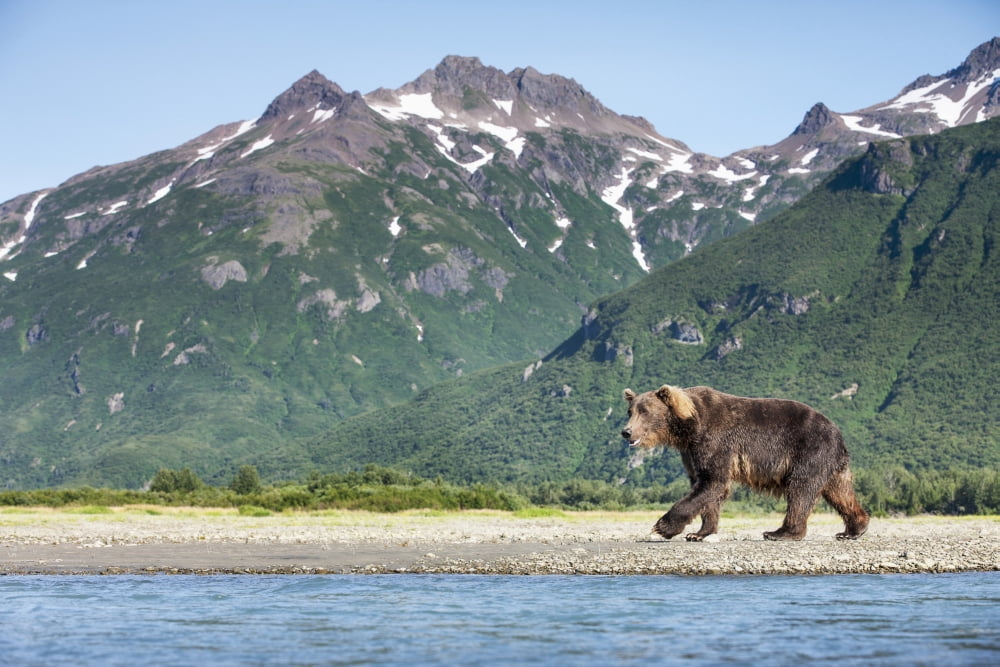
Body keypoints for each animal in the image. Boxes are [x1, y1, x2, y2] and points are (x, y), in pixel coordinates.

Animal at [621, 384, 869, 541]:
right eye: (630, 411)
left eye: (645, 411)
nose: (626, 432)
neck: (688, 425)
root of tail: (836, 431)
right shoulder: (691, 451)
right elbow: (706, 488)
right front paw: (699, 533)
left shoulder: (715, 439)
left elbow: (712, 482)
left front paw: (662, 527)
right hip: (831, 463)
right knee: (839, 492)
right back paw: (853, 529)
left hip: (809, 451)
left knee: (801, 490)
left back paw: (780, 533)